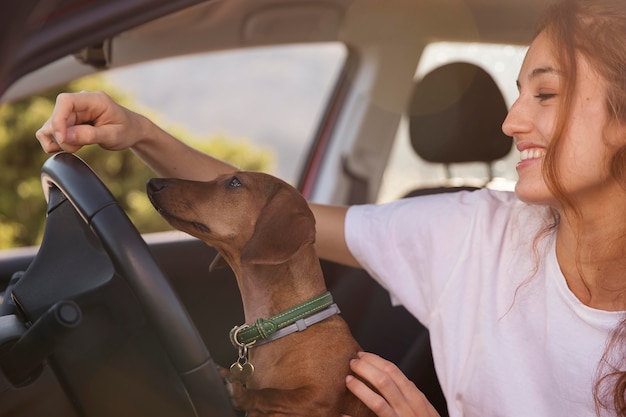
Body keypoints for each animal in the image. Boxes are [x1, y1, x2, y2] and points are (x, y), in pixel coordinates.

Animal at [146, 171, 372, 416]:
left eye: (235, 182)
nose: (153, 183)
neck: (285, 324)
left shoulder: (321, 398)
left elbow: (273, 394)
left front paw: (242, 393)